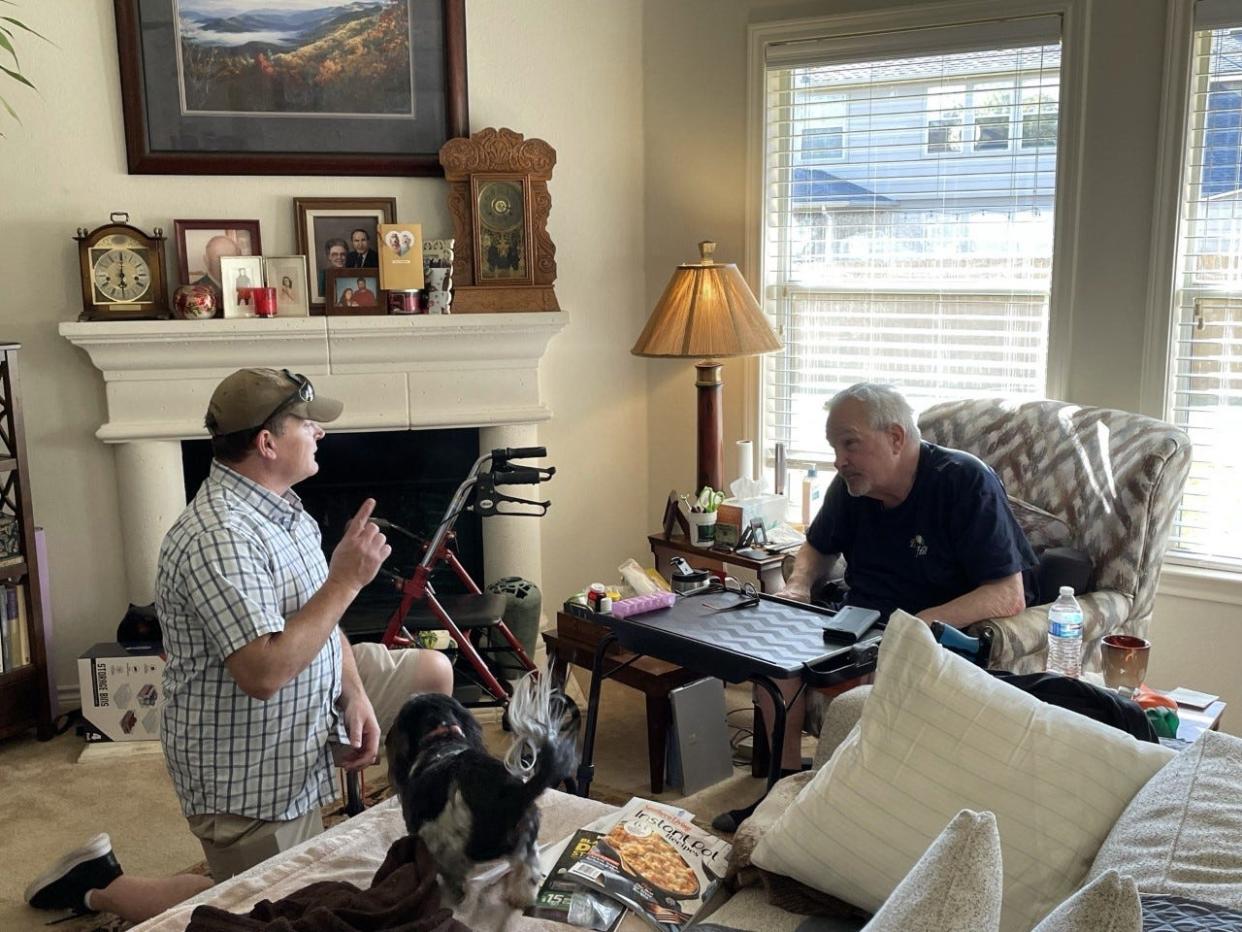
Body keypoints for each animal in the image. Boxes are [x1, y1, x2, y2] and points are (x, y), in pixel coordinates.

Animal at [387, 671, 576, 919]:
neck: (442, 737)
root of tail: (513, 794)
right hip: (526, 838)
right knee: (527, 873)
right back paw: (519, 899)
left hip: (456, 852)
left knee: (466, 885)